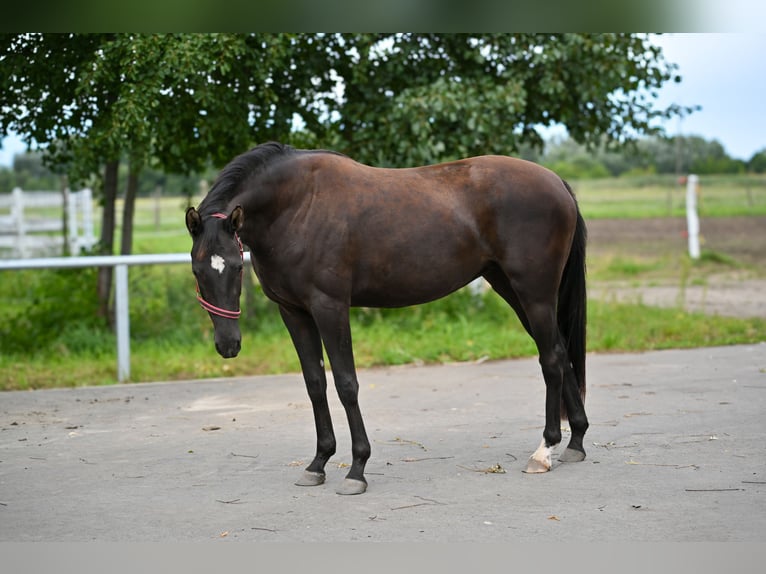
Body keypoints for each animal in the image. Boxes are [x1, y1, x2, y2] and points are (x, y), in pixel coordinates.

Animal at [185, 141, 589, 495]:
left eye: (236, 267)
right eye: (198, 271)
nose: (228, 344)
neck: (298, 206)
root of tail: (556, 182)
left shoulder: (329, 306)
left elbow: (346, 384)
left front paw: (356, 469)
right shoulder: (294, 312)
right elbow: (315, 383)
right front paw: (318, 463)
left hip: (534, 293)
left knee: (551, 359)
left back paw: (544, 451)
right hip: (511, 288)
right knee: (560, 351)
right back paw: (576, 442)